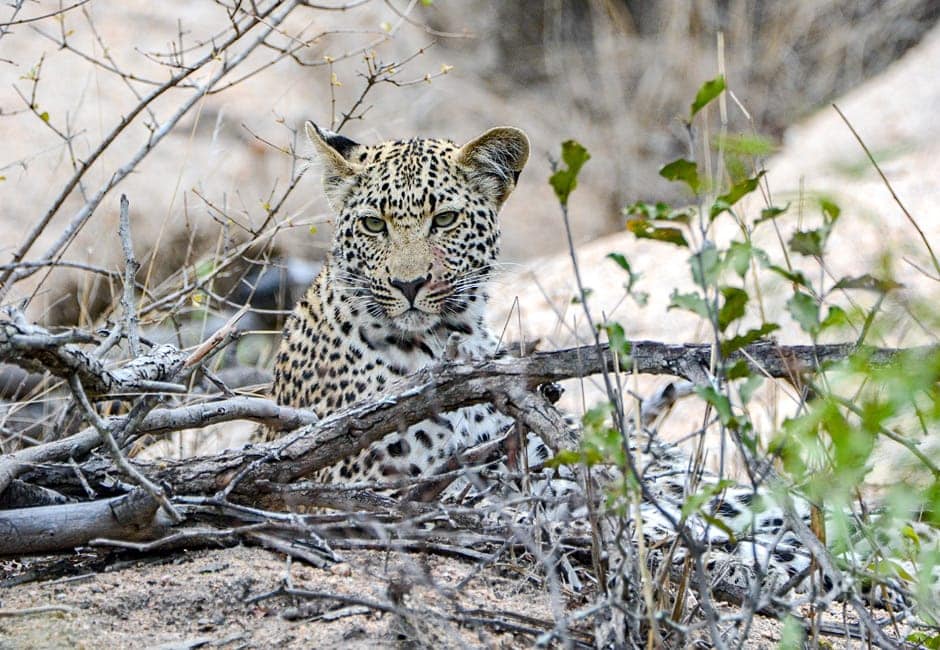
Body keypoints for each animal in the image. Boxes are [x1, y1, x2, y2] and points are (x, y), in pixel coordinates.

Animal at [264, 121, 936, 616]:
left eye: (445, 220)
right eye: (374, 224)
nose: (408, 285)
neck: (447, 346)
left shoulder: (522, 463)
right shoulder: (402, 483)